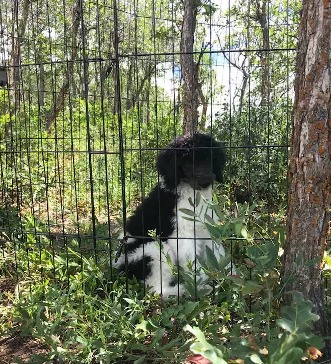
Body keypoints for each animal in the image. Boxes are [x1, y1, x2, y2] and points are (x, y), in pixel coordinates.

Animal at [115, 134, 230, 296]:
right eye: (187, 163)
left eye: (208, 158)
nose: (205, 182)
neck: (193, 194)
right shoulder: (182, 234)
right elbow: (192, 262)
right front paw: (200, 282)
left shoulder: (207, 228)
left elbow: (218, 252)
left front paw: (230, 274)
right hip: (152, 249)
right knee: (156, 289)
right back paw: (186, 290)